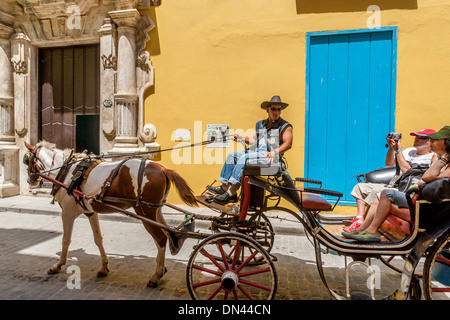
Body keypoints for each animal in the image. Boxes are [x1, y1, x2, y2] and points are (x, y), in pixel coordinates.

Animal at [23, 141, 197, 286]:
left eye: (26, 160)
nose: (29, 180)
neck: (66, 171)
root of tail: (163, 169)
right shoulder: (90, 212)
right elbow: (98, 239)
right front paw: (104, 267)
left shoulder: (67, 212)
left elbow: (65, 240)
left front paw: (58, 265)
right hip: (155, 210)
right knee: (167, 232)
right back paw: (163, 266)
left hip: (145, 212)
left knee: (160, 238)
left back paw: (156, 275)